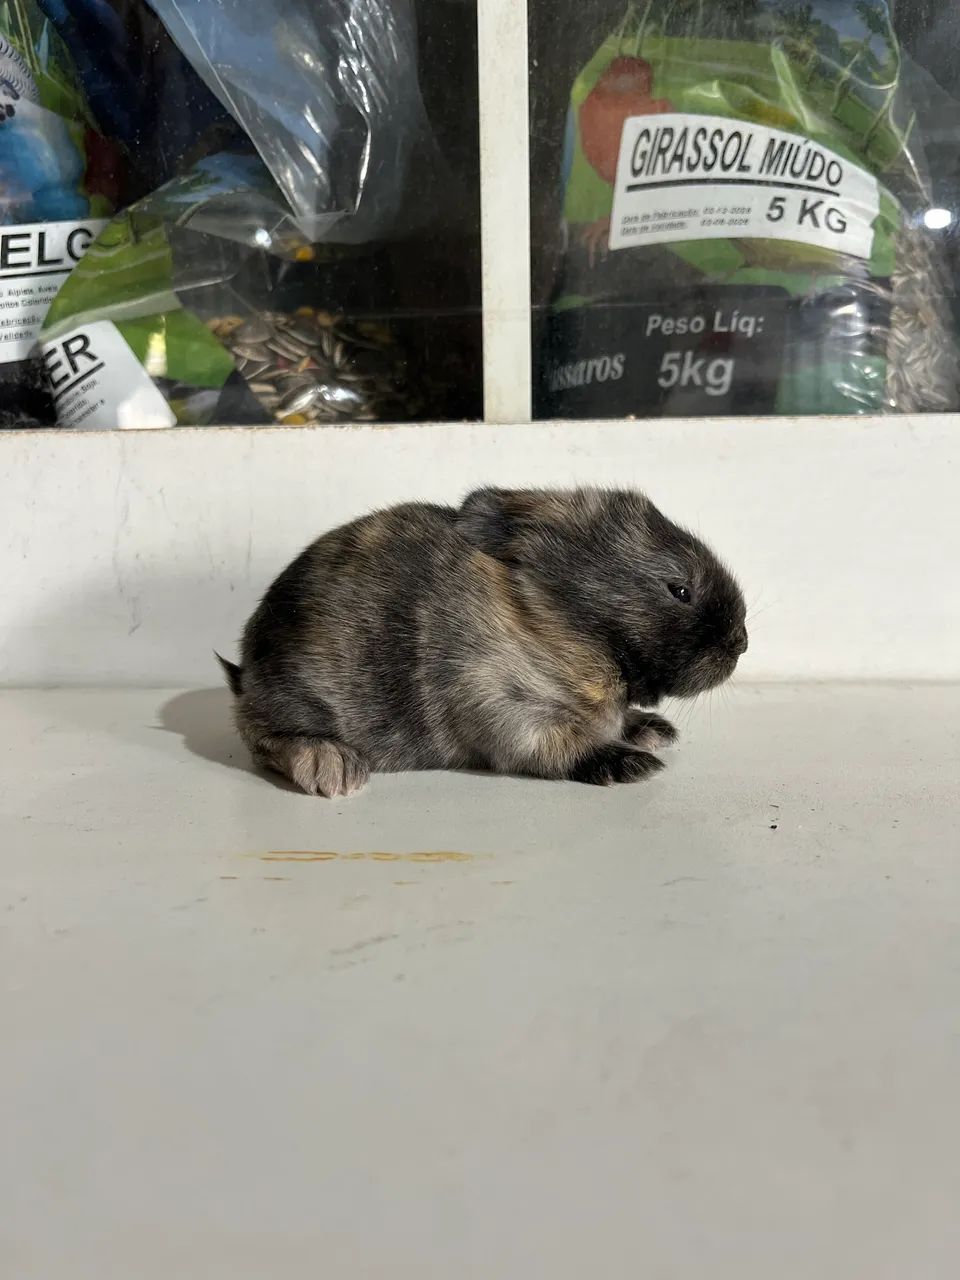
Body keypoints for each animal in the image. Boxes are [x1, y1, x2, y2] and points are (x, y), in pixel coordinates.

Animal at [218, 487, 747, 796]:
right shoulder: (500, 703)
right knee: (261, 737)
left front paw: (651, 729)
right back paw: (333, 764)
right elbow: (558, 745)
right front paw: (628, 763)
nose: (741, 642)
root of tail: (245, 674)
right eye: (679, 589)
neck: (553, 624)